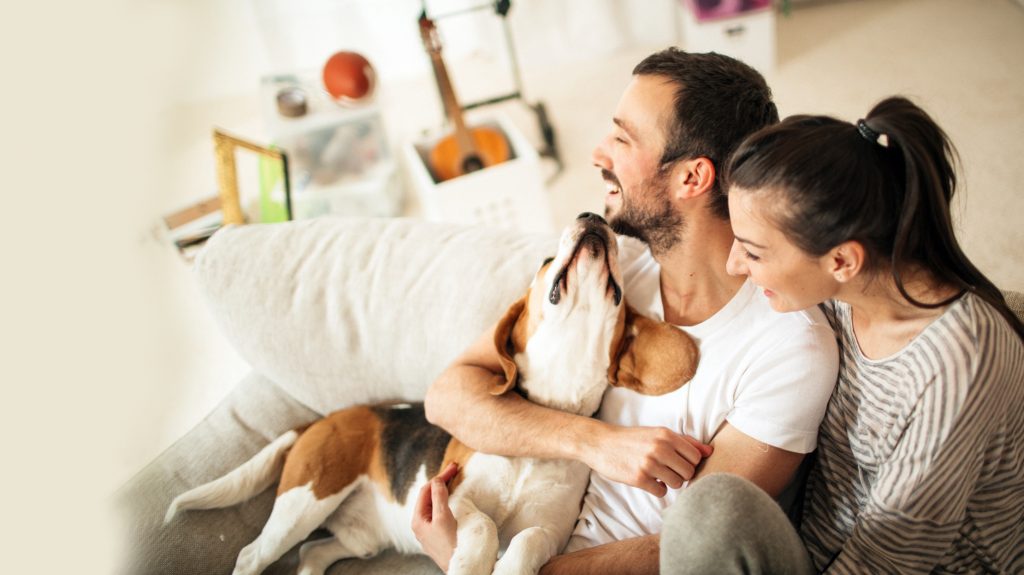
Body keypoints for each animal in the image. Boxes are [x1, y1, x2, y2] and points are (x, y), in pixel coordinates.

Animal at [165, 211, 696, 572]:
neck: (545, 419)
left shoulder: (550, 531)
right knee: (253, 554)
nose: (592, 216)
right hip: (306, 500)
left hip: (356, 537)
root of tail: (323, 419)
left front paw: (508, 567)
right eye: (546, 261)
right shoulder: (450, 493)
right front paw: (471, 563)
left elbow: (525, 540)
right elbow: (482, 525)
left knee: (313, 553)